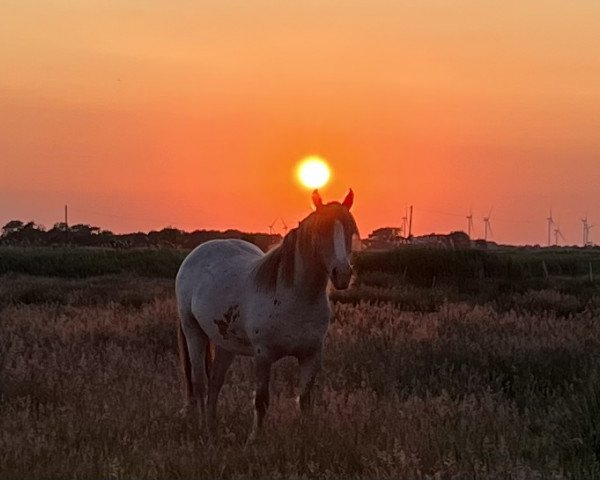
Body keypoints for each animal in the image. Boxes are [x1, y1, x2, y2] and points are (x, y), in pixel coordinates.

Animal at [176, 188, 358, 442]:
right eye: (321, 230)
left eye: (350, 230)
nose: (342, 274)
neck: (295, 297)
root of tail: (195, 255)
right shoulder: (263, 355)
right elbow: (261, 401)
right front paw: (254, 440)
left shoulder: (311, 355)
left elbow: (305, 400)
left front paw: (306, 437)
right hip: (194, 332)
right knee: (200, 382)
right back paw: (204, 430)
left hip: (225, 343)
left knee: (215, 383)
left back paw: (213, 428)